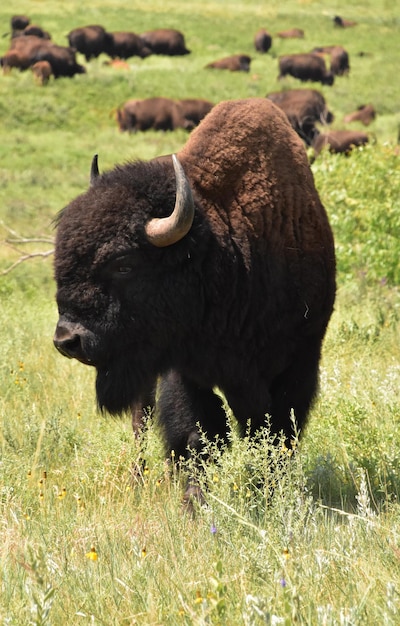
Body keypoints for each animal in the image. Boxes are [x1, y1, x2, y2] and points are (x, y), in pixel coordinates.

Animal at [51, 97, 336, 500]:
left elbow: (278, 434)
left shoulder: (300, 361)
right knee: (142, 419)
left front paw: (269, 494)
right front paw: (195, 503)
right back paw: (140, 481)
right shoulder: (186, 371)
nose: (67, 340)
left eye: (124, 264)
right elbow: (197, 435)